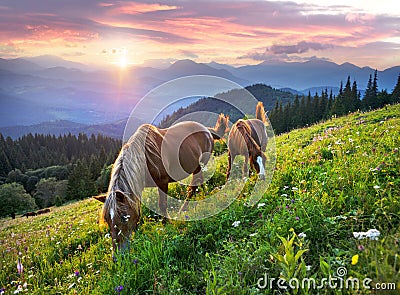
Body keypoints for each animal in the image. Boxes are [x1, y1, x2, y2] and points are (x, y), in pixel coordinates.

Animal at [93, 121, 216, 256]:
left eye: (123, 217)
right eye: (106, 219)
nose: (117, 256)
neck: (145, 158)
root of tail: (206, 130)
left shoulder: (162, 182)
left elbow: (162, 204)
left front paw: (165, 224)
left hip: (199, 165)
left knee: (194, 185)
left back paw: (184, 208)